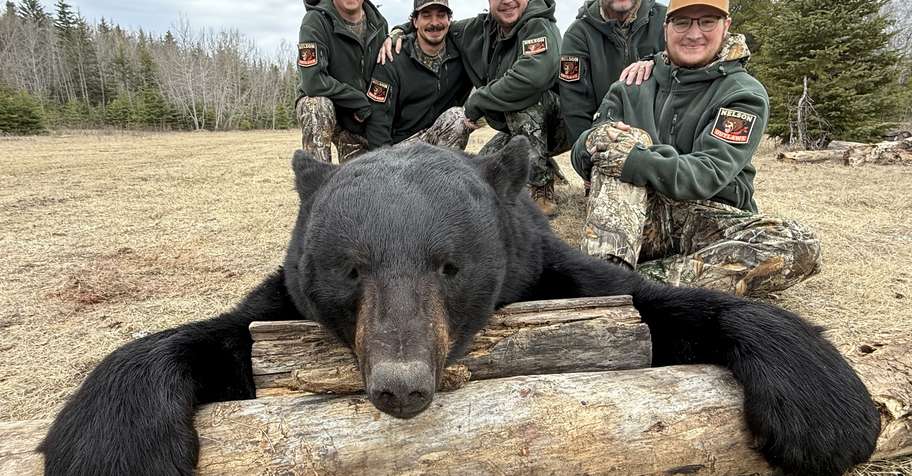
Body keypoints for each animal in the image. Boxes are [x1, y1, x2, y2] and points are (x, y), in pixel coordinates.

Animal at [40, 138, 880, 476]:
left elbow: (664, 308)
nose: (401, 384)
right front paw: (111, 444)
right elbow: (220, 339)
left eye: (450, 266)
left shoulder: (550, 272)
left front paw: (828, 412)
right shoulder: (280, 300)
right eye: (351, 269)